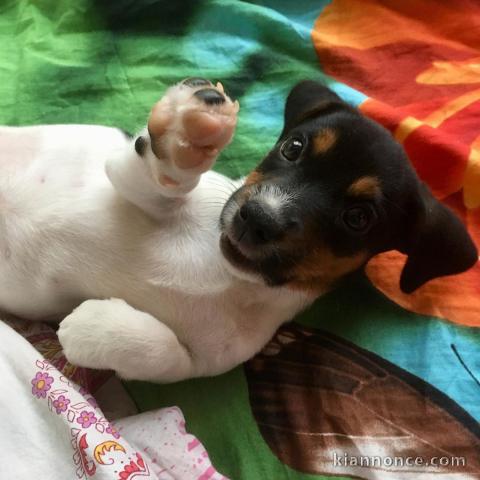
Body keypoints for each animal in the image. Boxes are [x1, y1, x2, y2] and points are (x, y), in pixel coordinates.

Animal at [0, 80, 476, 384]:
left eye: (358, 217)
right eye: (293, 148)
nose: (257, 217)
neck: (226, 275)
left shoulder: (204, 361)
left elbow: (164, 352)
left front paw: (94, 328)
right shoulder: (126, 180)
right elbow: (154, 179)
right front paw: (182, 141)